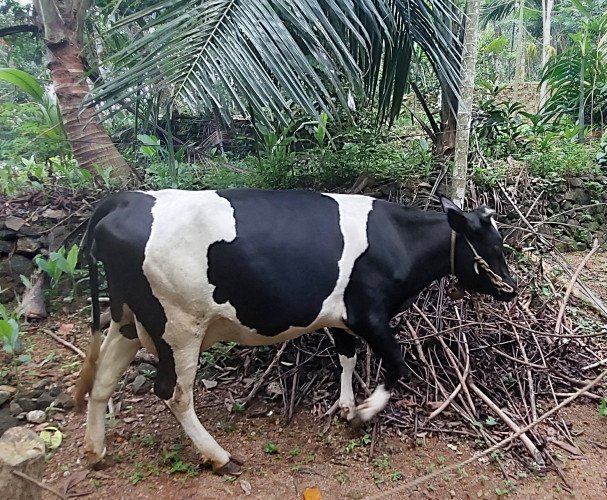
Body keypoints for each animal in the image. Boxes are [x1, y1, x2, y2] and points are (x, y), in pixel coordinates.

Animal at [73, 188, 516, 472]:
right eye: (495, 248)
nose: (512, 288)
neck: (398, 241)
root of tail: (124, 199)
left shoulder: (341, 318)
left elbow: (347, 357)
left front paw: (345, 405)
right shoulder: (368, 314)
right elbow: (397, 362)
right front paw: (365, 412)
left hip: (128, 321)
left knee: (103, 379)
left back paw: (95, 451)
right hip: (178, 327)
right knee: (175, 394)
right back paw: (220, 458)